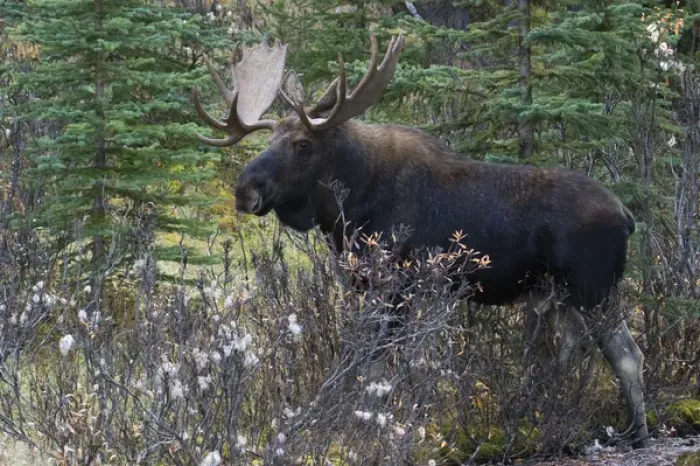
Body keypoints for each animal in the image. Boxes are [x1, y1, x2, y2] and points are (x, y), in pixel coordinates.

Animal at [192, 33, 650, 449]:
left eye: (303, 143)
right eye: (269, 140)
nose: (245, 188)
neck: (348, 207)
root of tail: (627, 217)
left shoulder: (398, 285)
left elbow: (378, 368)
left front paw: (368, 427)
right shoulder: (366, 284)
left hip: (594, 286)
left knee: (626, 354)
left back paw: (636, 433)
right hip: (555, 292)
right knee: (575, 347)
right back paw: (546, 410)